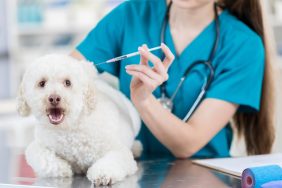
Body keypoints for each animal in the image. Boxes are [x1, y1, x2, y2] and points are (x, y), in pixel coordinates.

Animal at [16, 53, 142, 186]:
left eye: (67, 82)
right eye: (42, 83)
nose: (54, 98)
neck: (69, 129)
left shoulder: (119, 151)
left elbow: (113, 160)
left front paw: (102, 174)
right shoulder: (38, 146)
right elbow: (41, 158)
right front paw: (64, 169)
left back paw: (136, 147)